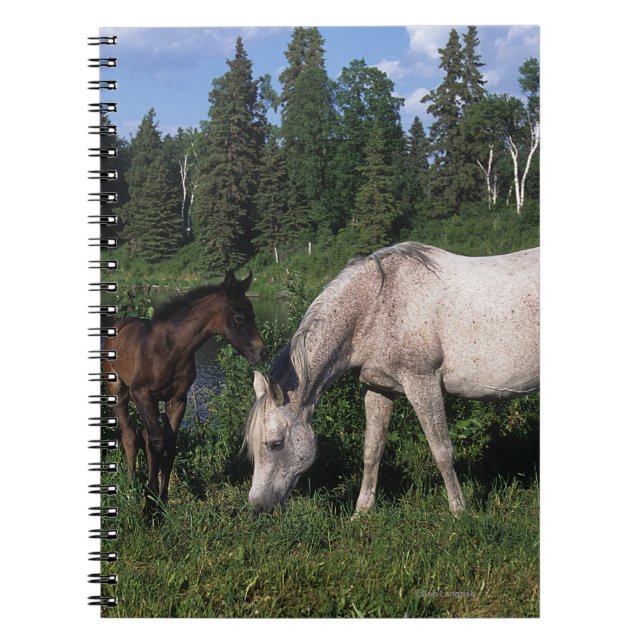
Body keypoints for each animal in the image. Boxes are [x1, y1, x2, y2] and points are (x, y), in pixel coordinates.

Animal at [104, 271, 267, 515]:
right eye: (239, 317)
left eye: (254, 314)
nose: (262, 352)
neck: (171, 349)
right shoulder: (142, 394)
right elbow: (157, 442)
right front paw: (149, 505)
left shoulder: (178, 400)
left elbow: (169, 444)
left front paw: (162, 500)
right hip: (119, 393)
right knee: (130, 436)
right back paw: (132, 486)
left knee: (142, 434)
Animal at [245, 243, 539, 516]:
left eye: (276, 444)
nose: (258, 506)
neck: (376, 304)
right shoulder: (378, 388)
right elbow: (372, 451)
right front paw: (361, 512)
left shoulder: (422, 383)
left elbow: (442, 450)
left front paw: (459, 511)